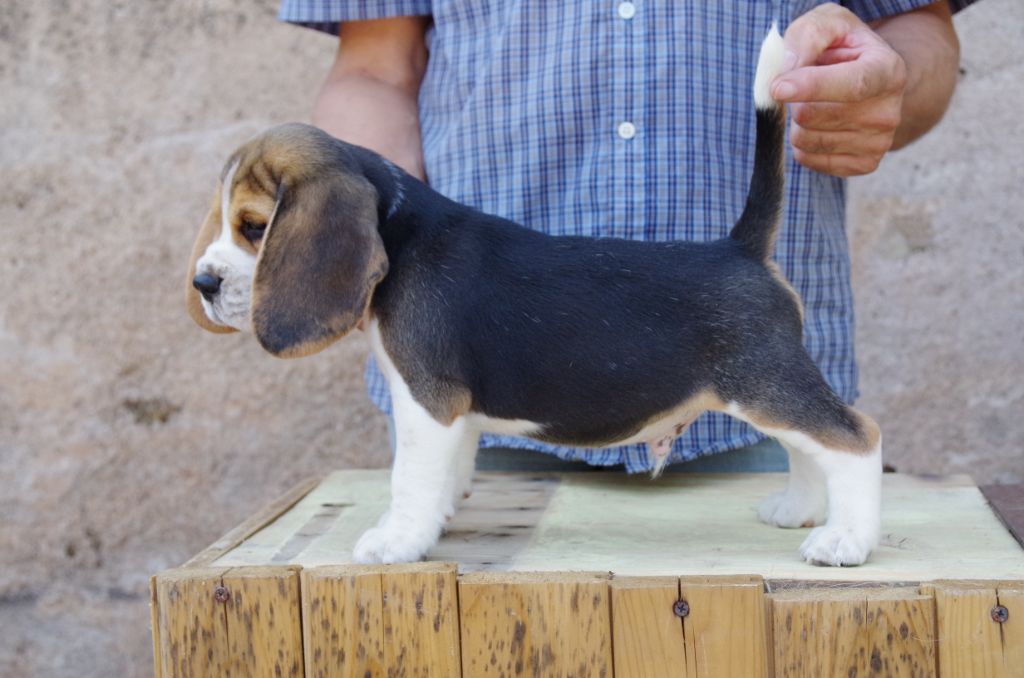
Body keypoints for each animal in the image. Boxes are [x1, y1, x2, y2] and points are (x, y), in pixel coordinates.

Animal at [190, 27, 880, 569]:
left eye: (254, 227)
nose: (203, 283)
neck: (399, 231)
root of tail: (739, 248)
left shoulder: (426, 404)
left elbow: (409, 478)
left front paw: (396, 541)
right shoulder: (452, 416)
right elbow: (448, 475)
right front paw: (432, 524)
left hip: (766, 381)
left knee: (855, 438)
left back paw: (845, 540)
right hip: (768, 388)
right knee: (808, 448)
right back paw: (799, 510)